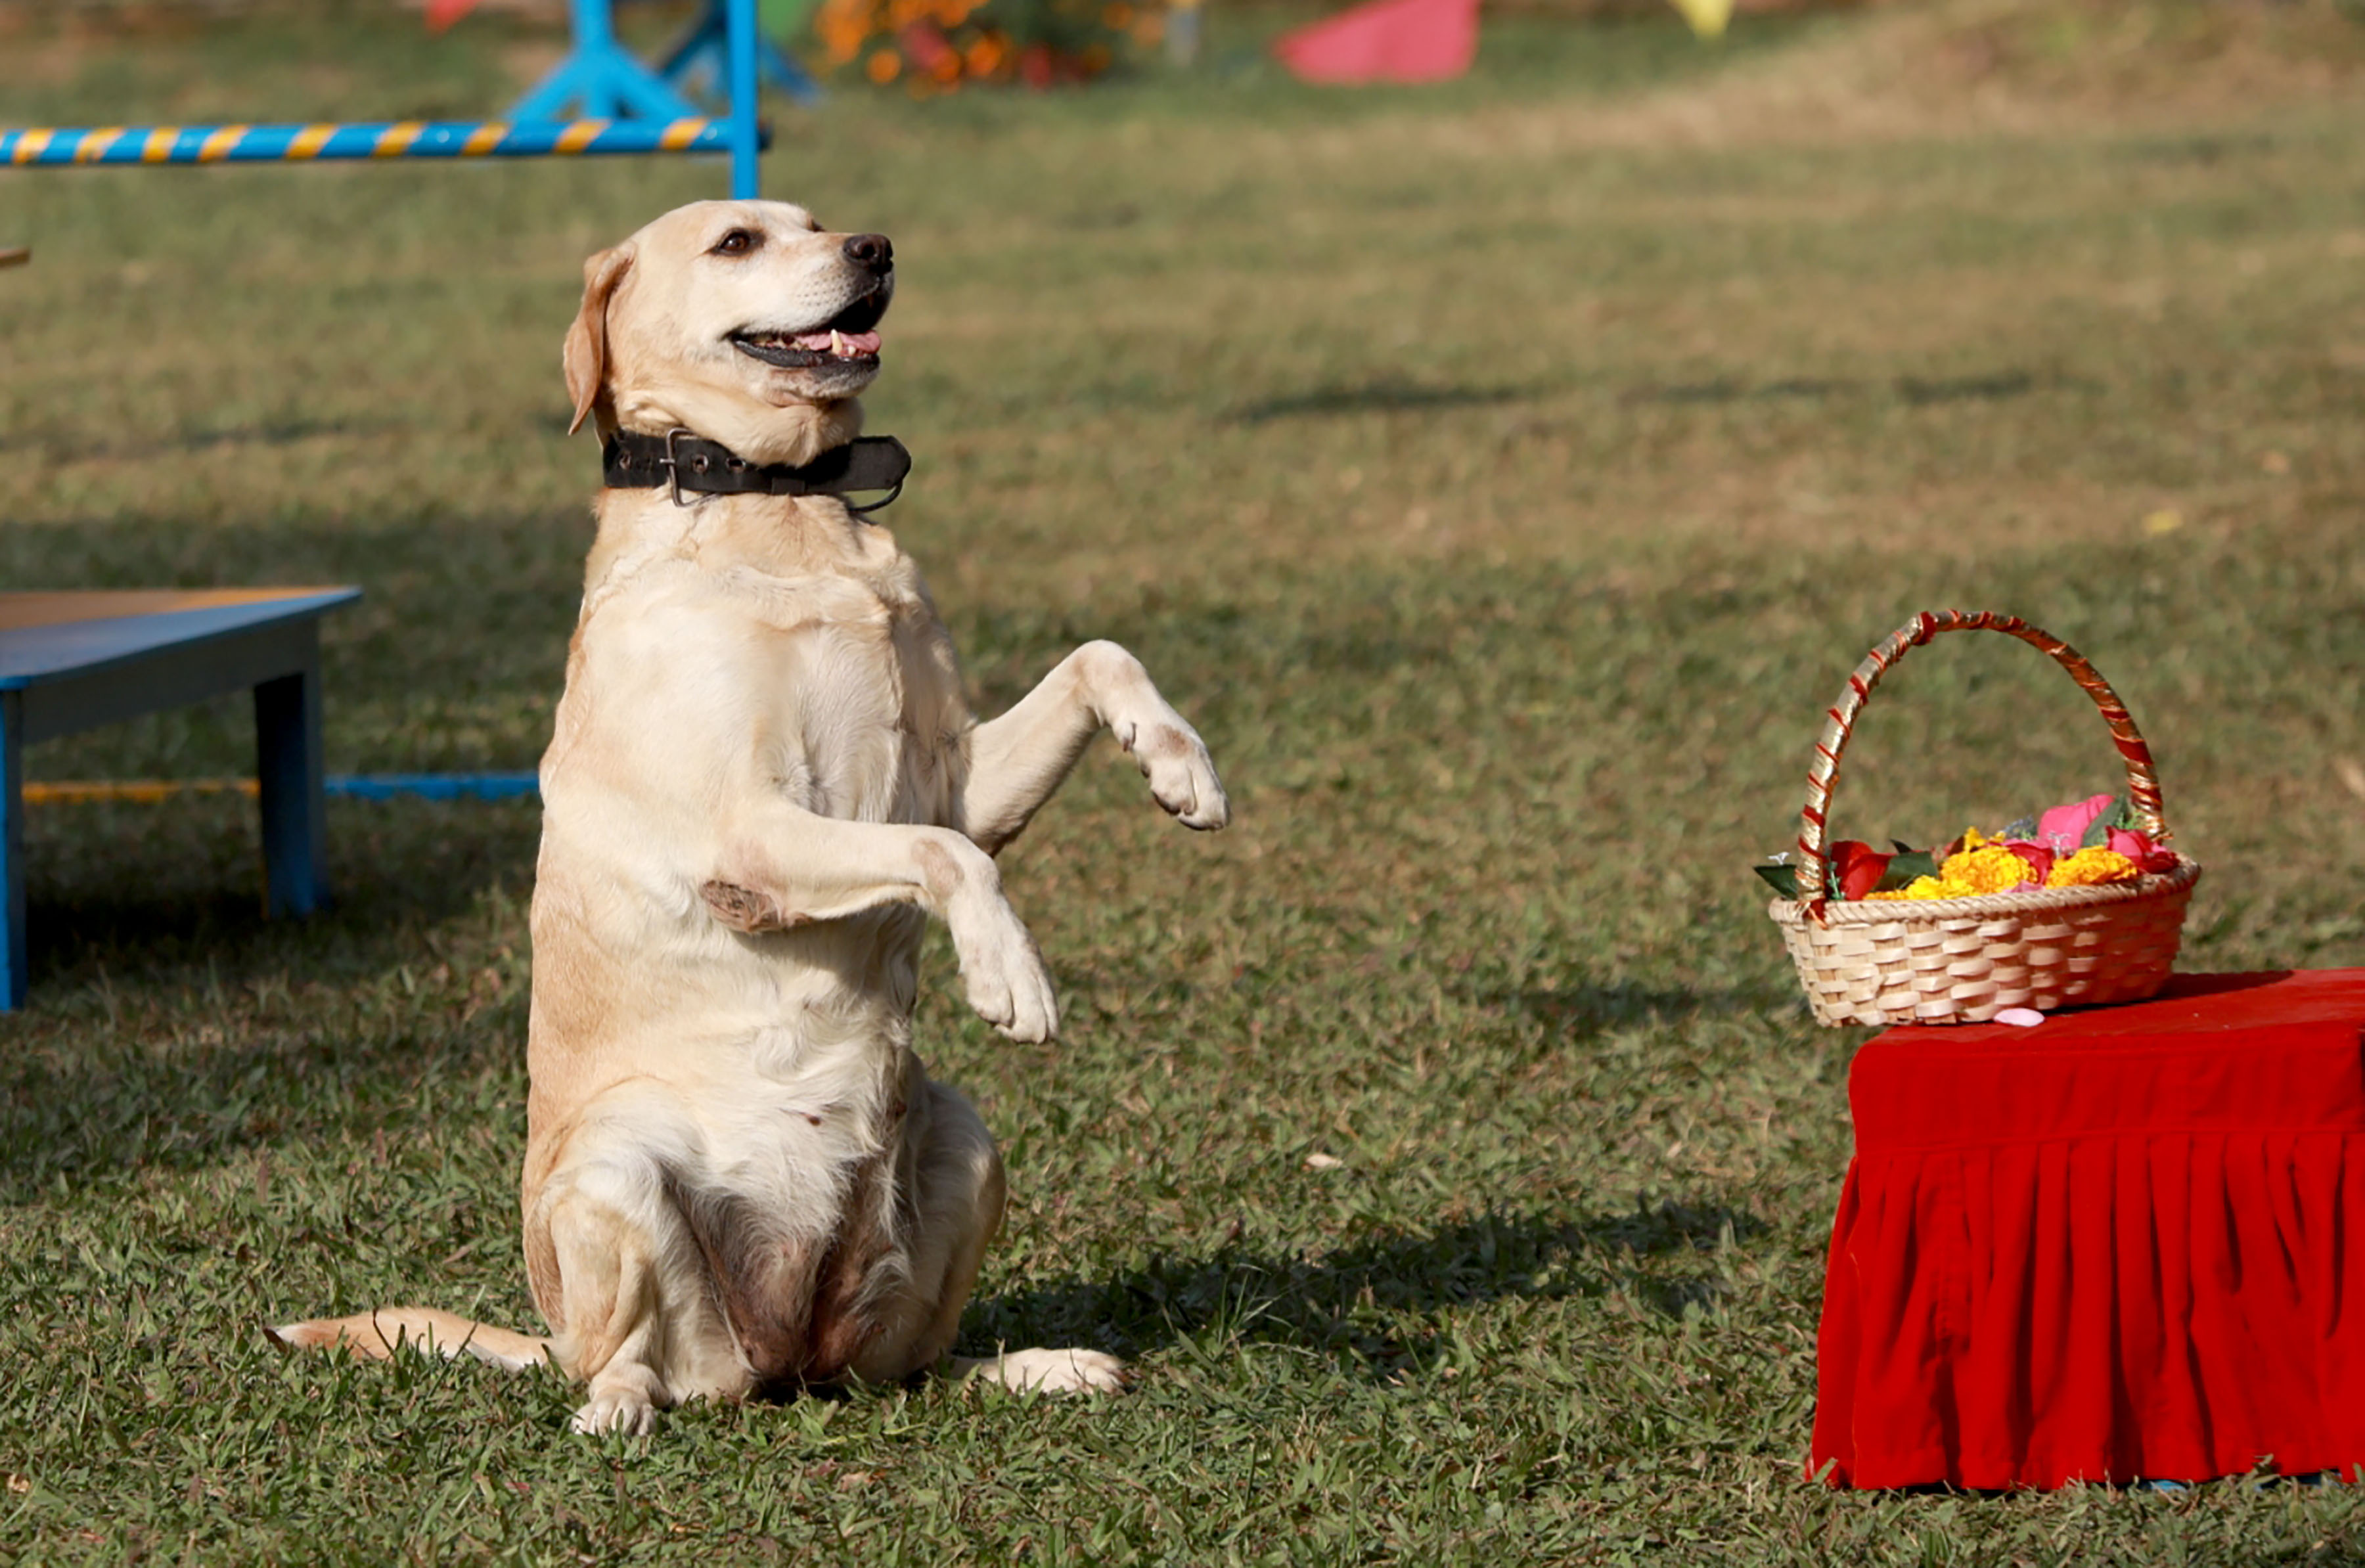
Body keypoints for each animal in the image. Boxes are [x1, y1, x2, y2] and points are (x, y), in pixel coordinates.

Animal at [281, 200, 1220, 1437]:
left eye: (819, 221)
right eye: (736, 241)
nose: (876, 249)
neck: (773, 504)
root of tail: (781, 1349)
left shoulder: (955, 776)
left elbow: (1095, 662)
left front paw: (1181, 765)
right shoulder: (750, 837)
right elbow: (946, 857)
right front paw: (1010, 973)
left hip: (968, 1148)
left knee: (907, 1367)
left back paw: (1040, 1365)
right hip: (617, 1172)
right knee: (632, 1360)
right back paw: (617, 1411)